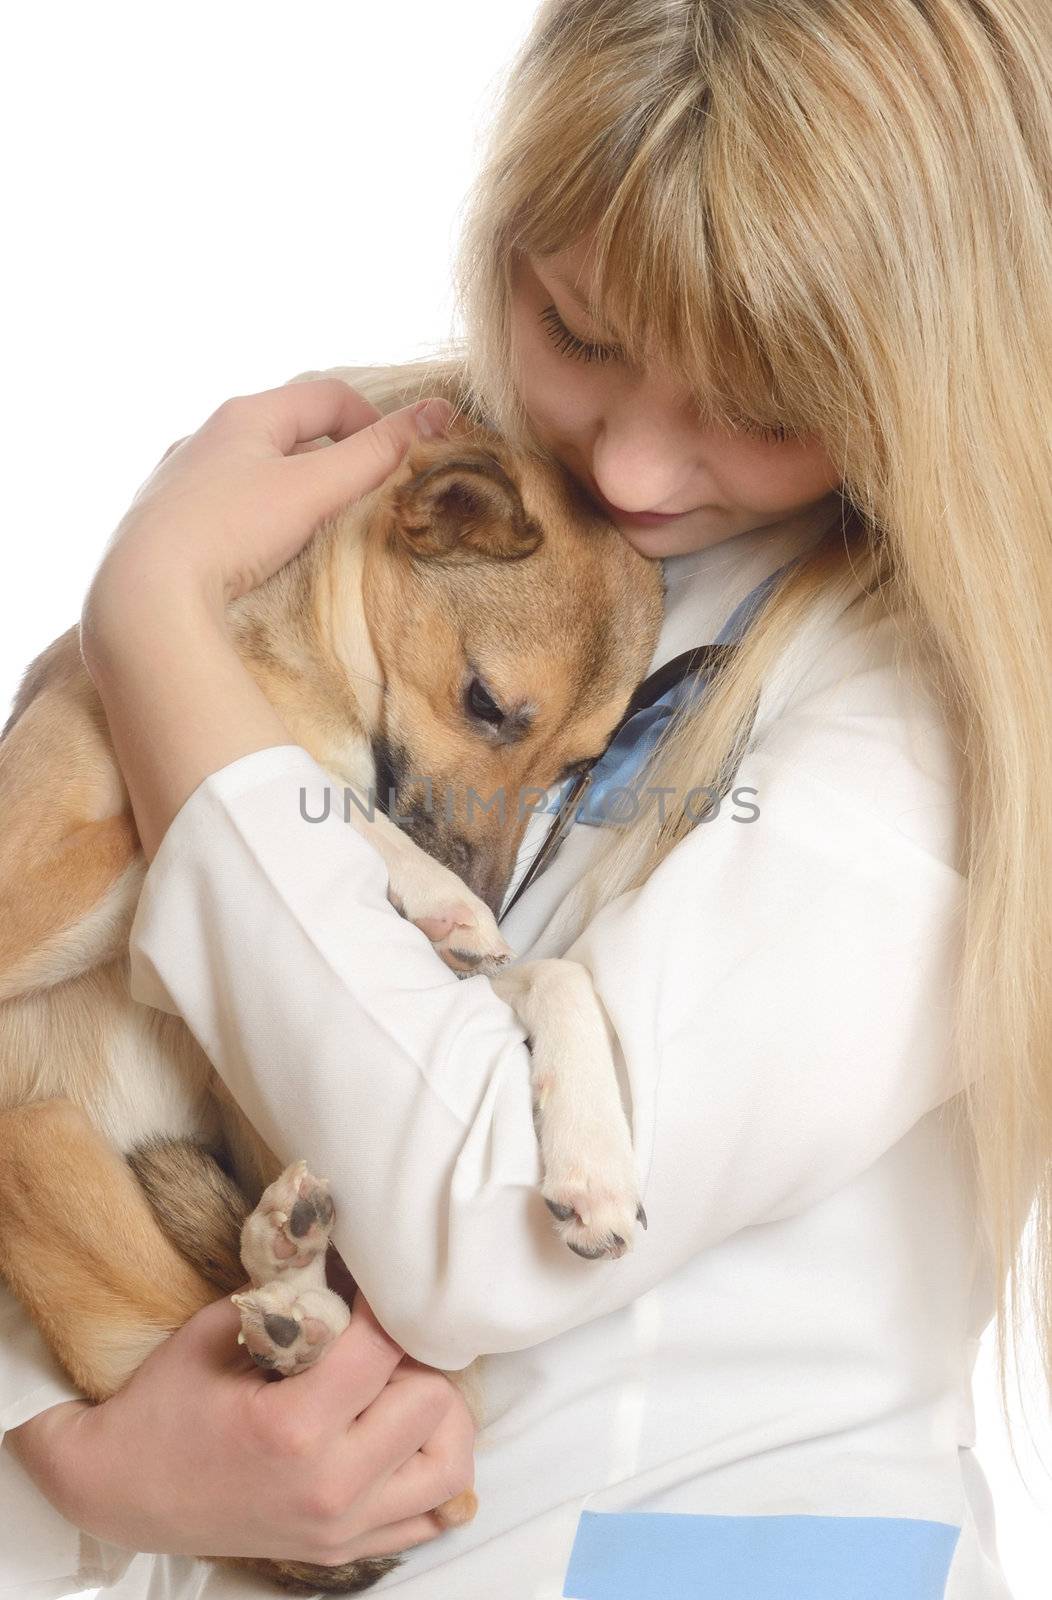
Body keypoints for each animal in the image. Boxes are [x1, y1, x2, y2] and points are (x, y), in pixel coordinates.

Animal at [0, 409, 658, 1587]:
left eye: (576, 768)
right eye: (486, 705)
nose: (495, 891)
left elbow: (557, 972)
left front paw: (595, 1160)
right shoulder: (26, 890)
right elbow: (312, 789)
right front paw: (437, 890)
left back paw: (293, 1276)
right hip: (35, 1137)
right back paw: (292, 1306)